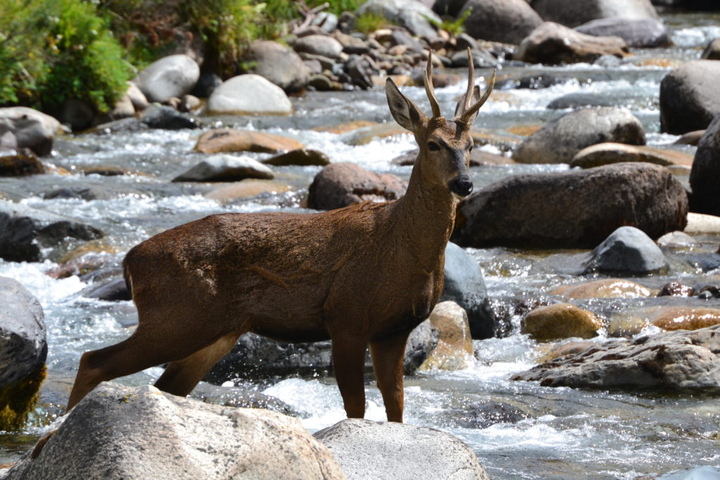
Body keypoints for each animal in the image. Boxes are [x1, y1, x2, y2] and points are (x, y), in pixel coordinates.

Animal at [67, 50, 496, 422]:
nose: (464, 183)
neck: (401, 249)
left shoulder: (394, 329)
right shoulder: (345, 315)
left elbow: (396, 408)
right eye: (433, 144)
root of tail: (129, 260)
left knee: (162, 384)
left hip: (212, 330)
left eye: (471, 145)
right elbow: (356, 408)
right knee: (92, 361)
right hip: (175, 316)